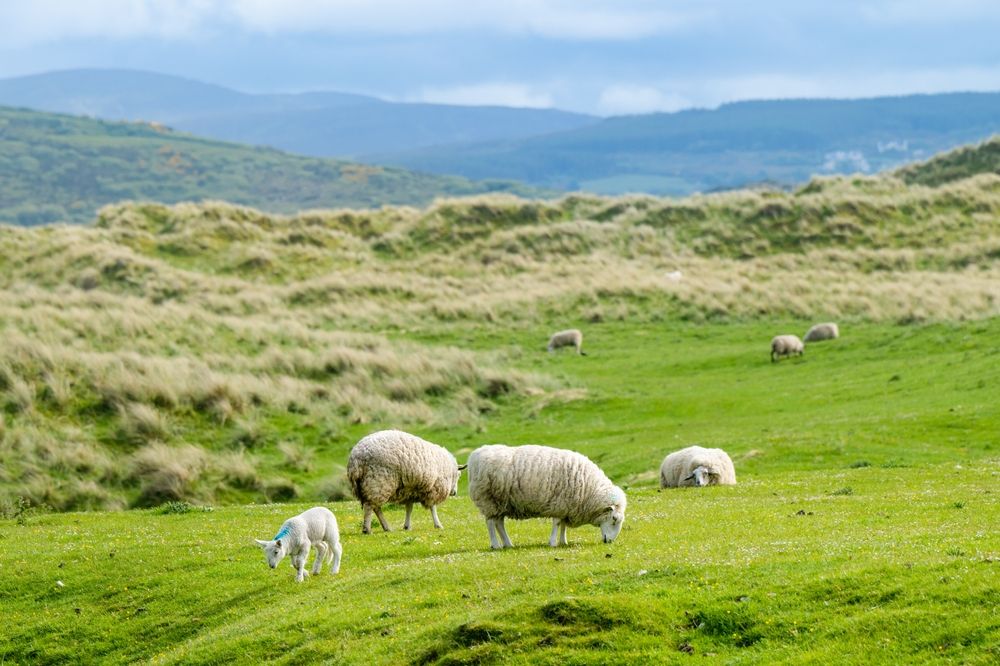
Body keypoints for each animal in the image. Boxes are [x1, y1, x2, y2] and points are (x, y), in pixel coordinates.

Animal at [466, 444, 624, 548]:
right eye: (614, 519)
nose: (610, 542)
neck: (589, 488)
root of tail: (475, 455)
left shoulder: (566, 506)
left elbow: (563, 525)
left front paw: (563, 541)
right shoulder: (560, 503)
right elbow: (557, 523)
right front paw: (553, 543)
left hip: (500, 502)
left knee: (499, 523)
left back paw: (508, 544)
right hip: (487, 499)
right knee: (490, 523)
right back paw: (496, 545)